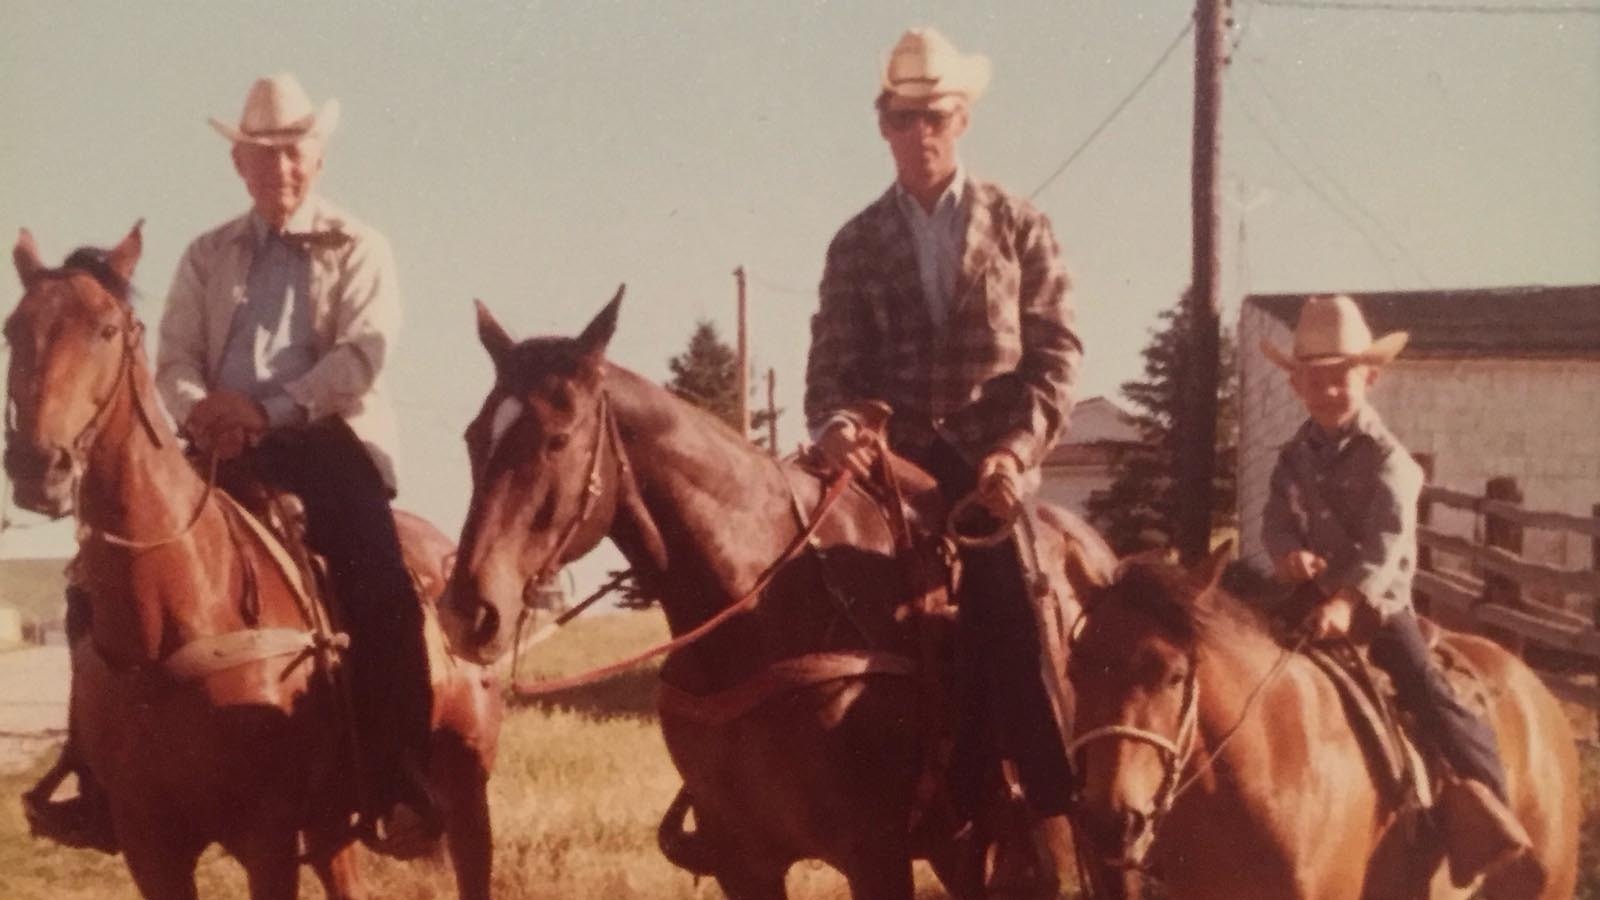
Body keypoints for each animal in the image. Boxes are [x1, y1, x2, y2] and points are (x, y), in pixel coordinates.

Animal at [3, 219, 502, 896]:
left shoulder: (267, 839)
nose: (39, 467)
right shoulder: (150, 848)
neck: (174, 614)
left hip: (465, 792)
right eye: (13, 329)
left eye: (107, 330)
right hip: (330, 822)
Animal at [432, 294, 1113, 896]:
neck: (763, 612)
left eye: (559, 438)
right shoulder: (744, 862)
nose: (468, 611)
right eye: (471, 437)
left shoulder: (875, 854)